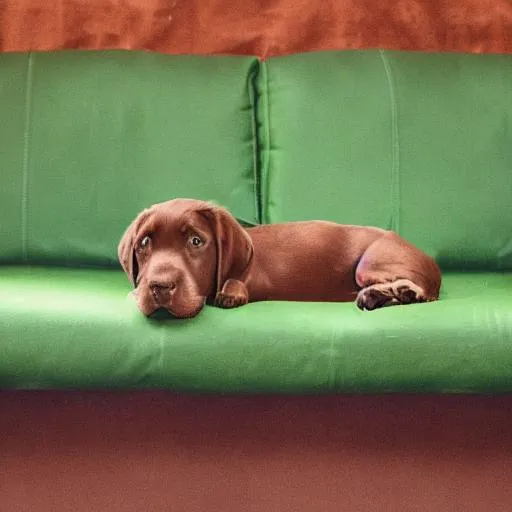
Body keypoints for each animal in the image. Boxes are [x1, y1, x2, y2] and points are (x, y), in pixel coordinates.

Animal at [119, 198, 440, 318]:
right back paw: (380, 296)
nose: (159, 288)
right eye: (144, 242)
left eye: (196, 241)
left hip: (369, 263)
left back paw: (401, 291)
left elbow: (236, 280)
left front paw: (230, 293)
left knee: (423, 292)